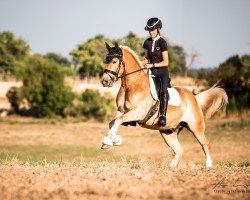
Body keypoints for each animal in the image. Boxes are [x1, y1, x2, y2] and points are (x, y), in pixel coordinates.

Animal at [100, 42, 228, 169]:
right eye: (106, 60)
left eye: (115, 61)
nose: (105, 81)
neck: (132, 85)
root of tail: (193, 98)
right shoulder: (121, 110)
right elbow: (112, 122)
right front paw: (111, 141)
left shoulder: (139, 112)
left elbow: (118, 121)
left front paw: (110, 141)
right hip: (168, 132)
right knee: (179, 150)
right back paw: (172, 166)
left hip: (196, 127)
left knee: (205, 144)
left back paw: (208, 165)